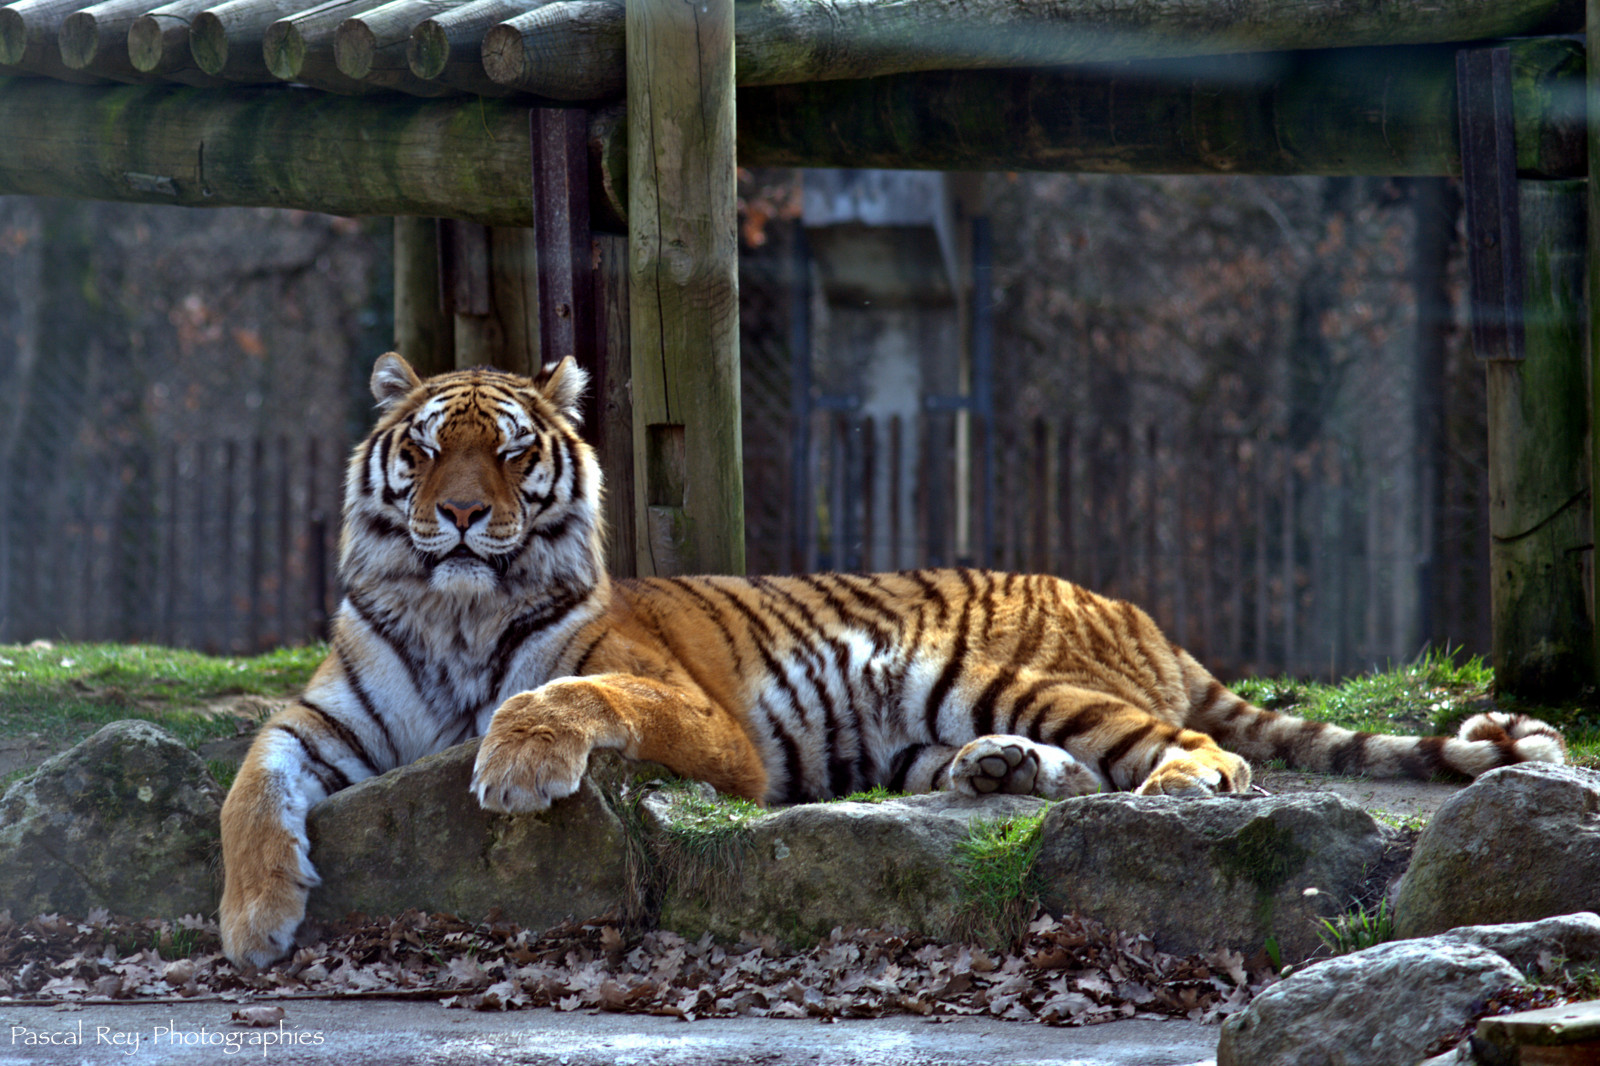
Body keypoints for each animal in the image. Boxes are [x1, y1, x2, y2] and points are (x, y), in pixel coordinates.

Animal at [218, 351, 1567, 967]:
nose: (455, 515)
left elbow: (567, 686)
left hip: (1009, 673)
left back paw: (1171, 784)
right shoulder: (324, 721)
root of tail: (1132, 605)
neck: (451, 613)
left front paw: (516, 766)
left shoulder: (698, 718)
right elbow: (248, 783)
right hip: (913, 723)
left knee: (1191, 748)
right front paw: (254, 919)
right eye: (426, 448)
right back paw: (1003, 775)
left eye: (506, 452)